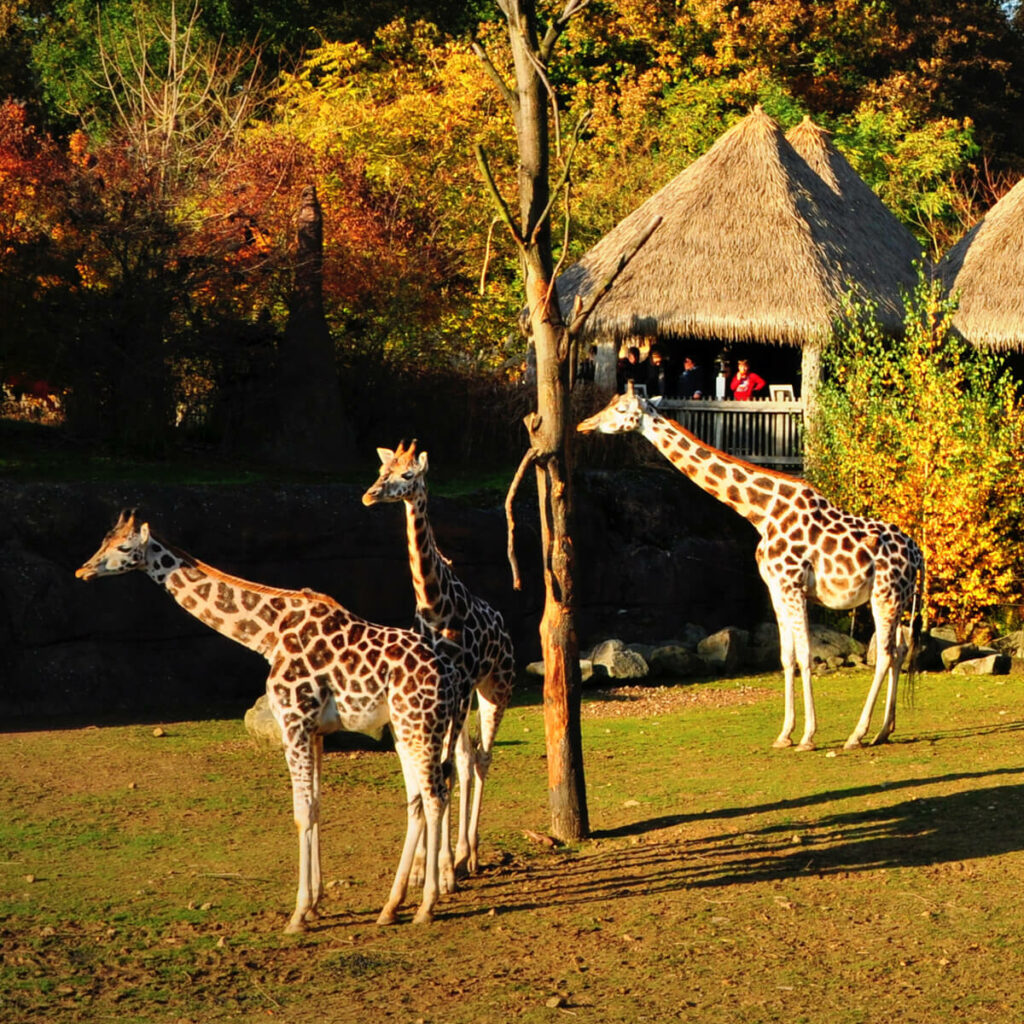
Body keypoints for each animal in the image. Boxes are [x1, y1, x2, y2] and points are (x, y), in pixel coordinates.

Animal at [76, 510, 467, 931]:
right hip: (404, 728)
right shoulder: (315, 730)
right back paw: (391, 906)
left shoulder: (294, 722)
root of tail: (450, 676)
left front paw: (297, 915)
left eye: (122, 547)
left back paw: (426, 906)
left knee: (434, 795)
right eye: (103, 540)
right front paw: (315, 904)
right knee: (418, 798)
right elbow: (315, 807)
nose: (83, 570)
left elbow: (300, 812)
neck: (267, 634)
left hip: (420, 724)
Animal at [362, 441, 516, 880]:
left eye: (409, 475)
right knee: (464, 758)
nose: (369, 495)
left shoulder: (461, 685)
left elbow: (444, 769)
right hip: (463, 700)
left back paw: (469, 853)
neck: (436, 609)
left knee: (481, 758)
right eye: (382, 470)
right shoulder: (438, 689)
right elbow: (436, 769)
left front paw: (444, 870)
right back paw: (460, 854)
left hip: (495, 690)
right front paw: (421, 869)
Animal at [577, 383, 924, 751]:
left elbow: (805, 655)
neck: (761, 512)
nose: (584, 424)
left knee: (884, 654)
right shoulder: (776, 589)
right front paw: (785, 734)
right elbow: (786, 657)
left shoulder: (792, 586)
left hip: (885, 596)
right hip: (898, 599)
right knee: (900, 649)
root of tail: (918, 554)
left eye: (621, 409)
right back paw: (884, 731)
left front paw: (808, 737)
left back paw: (857, 735)